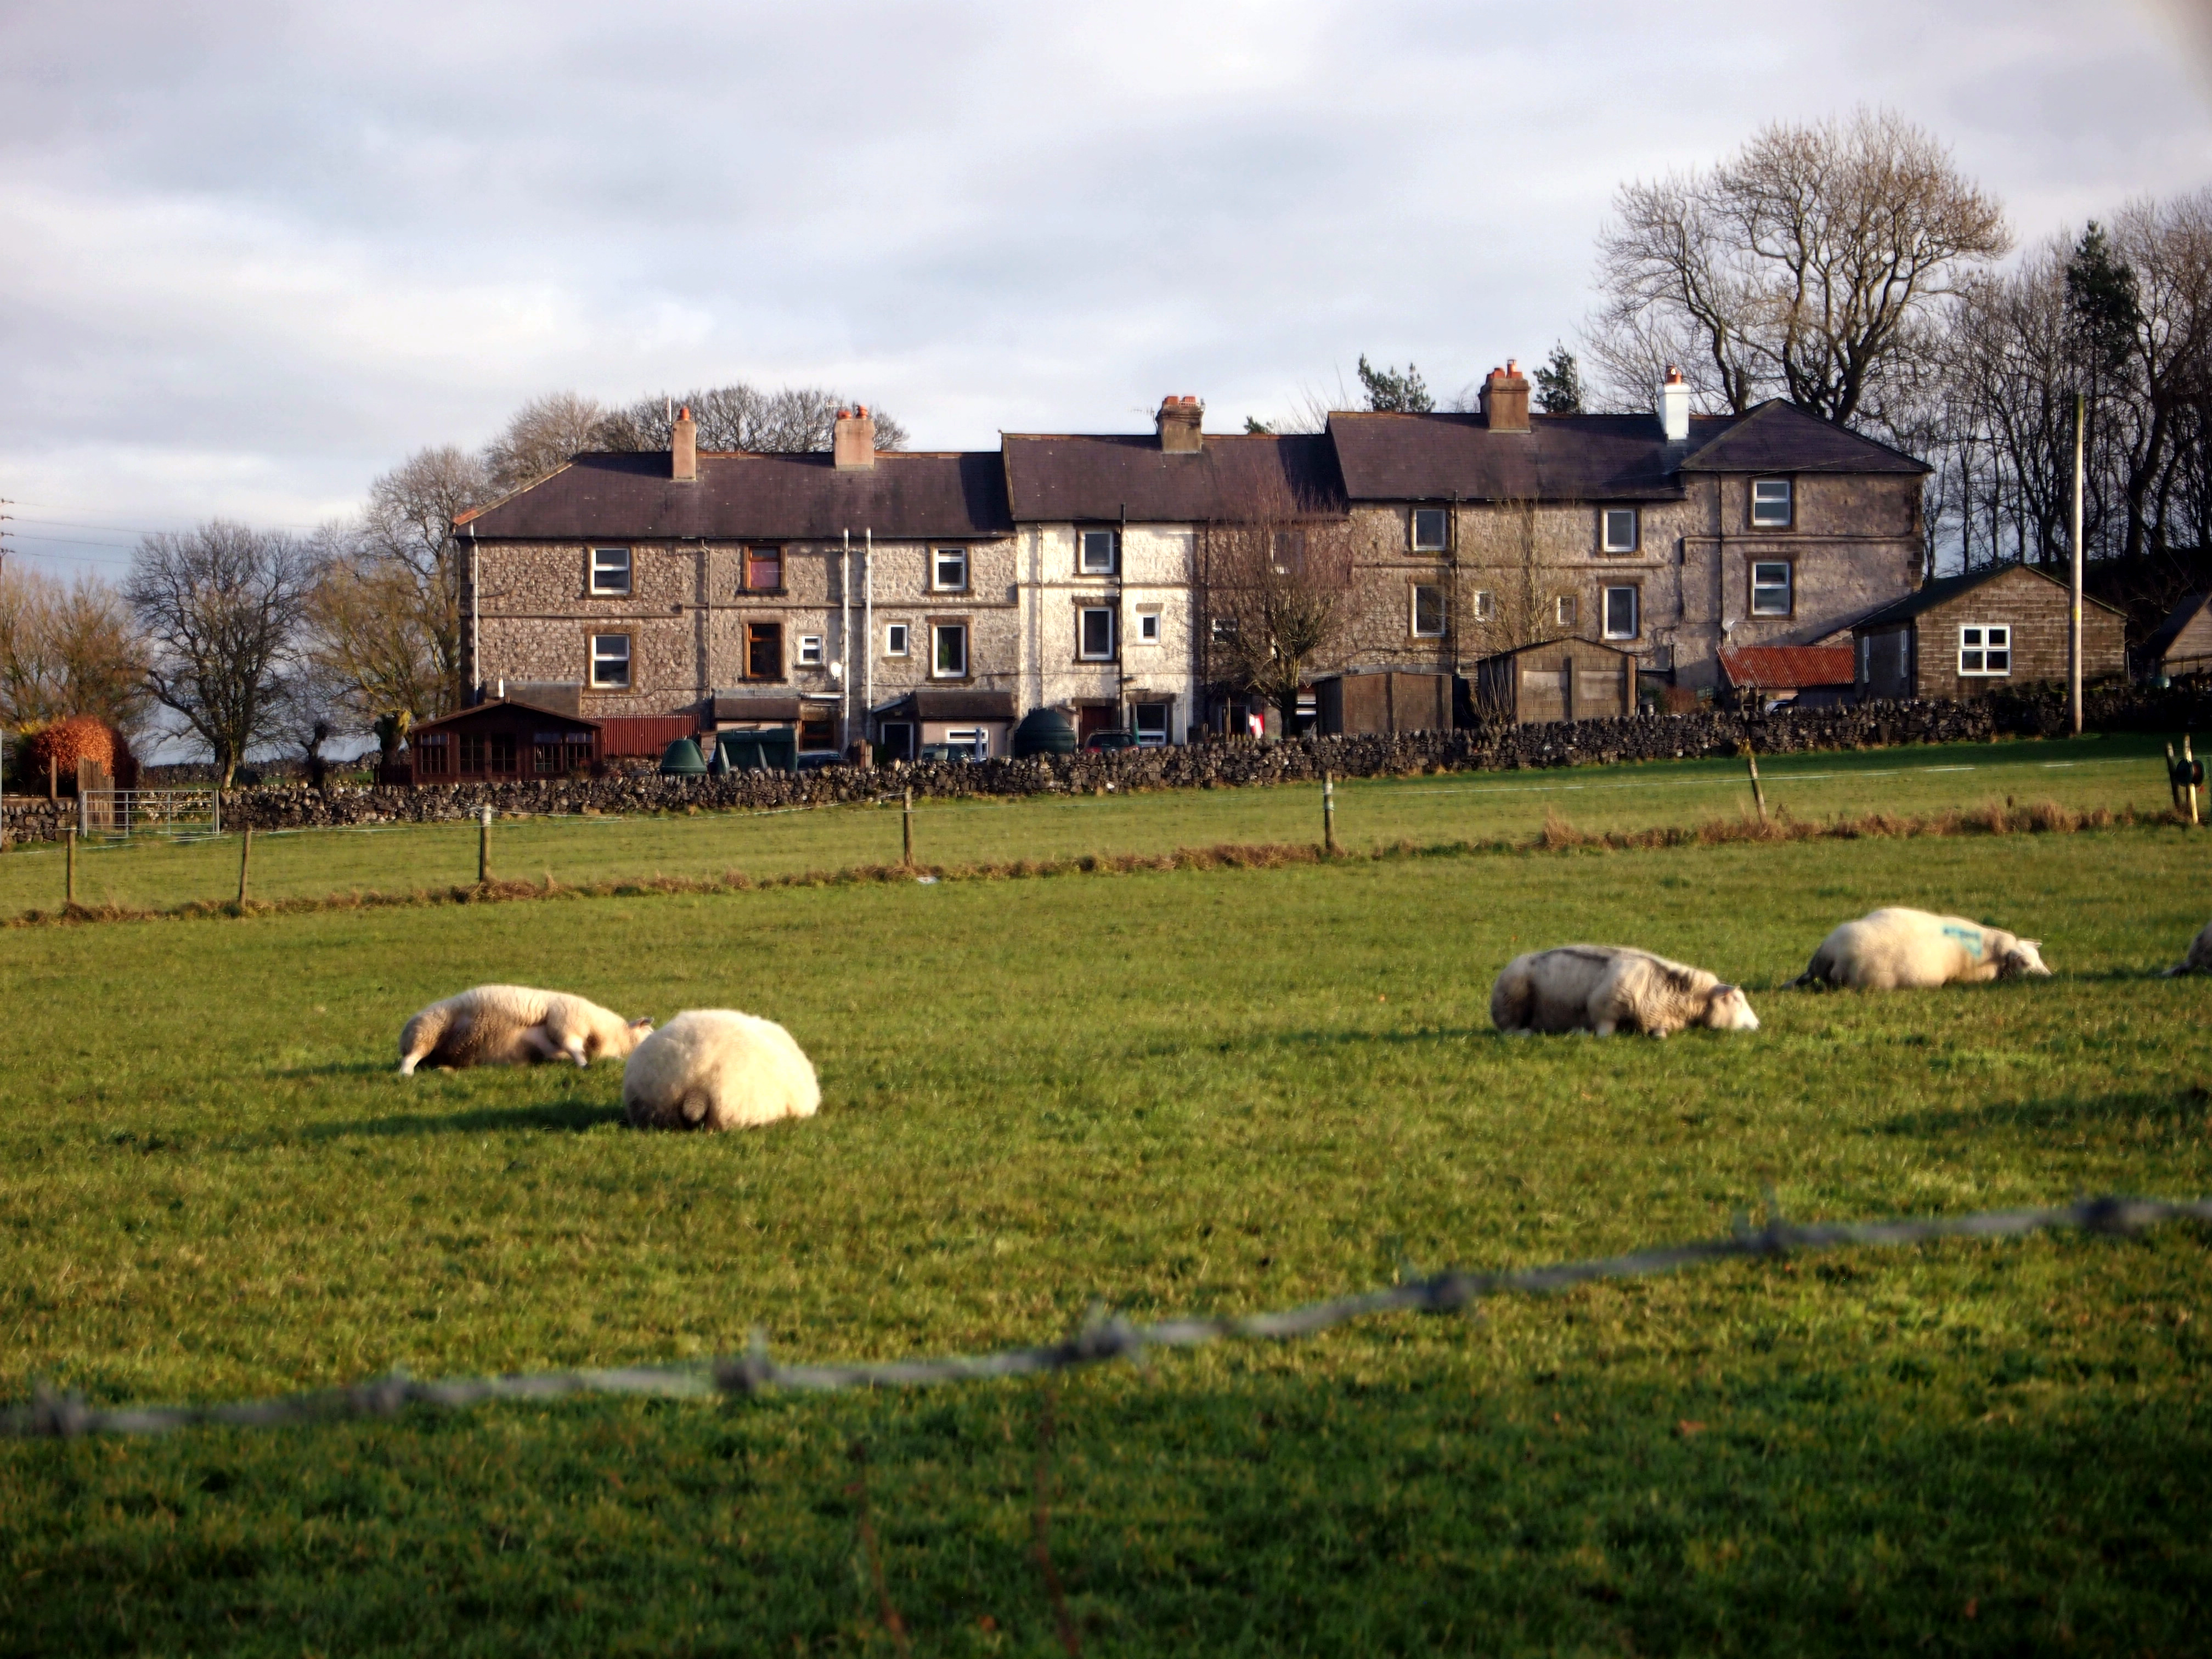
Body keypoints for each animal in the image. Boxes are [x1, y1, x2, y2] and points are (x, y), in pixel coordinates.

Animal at [397, 985, 652, 1075]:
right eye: (650, 1033)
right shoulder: (564, 1023)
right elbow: (574, 1048)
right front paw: (584, 1065)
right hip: (426, 1031)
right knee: (412, 1057)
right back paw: (406, 1073)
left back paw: (444, 1069)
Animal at [1490, 945, 1760, 1038]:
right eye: (1736, 1000)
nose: (1758, 1025)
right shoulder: (1603, 1011)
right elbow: (1603, 1035)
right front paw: (1580, 1032)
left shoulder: (1659, 1020)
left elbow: (1660, 1036)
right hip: (1512, 1003)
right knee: (1510, 1031)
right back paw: (1527, 1033)